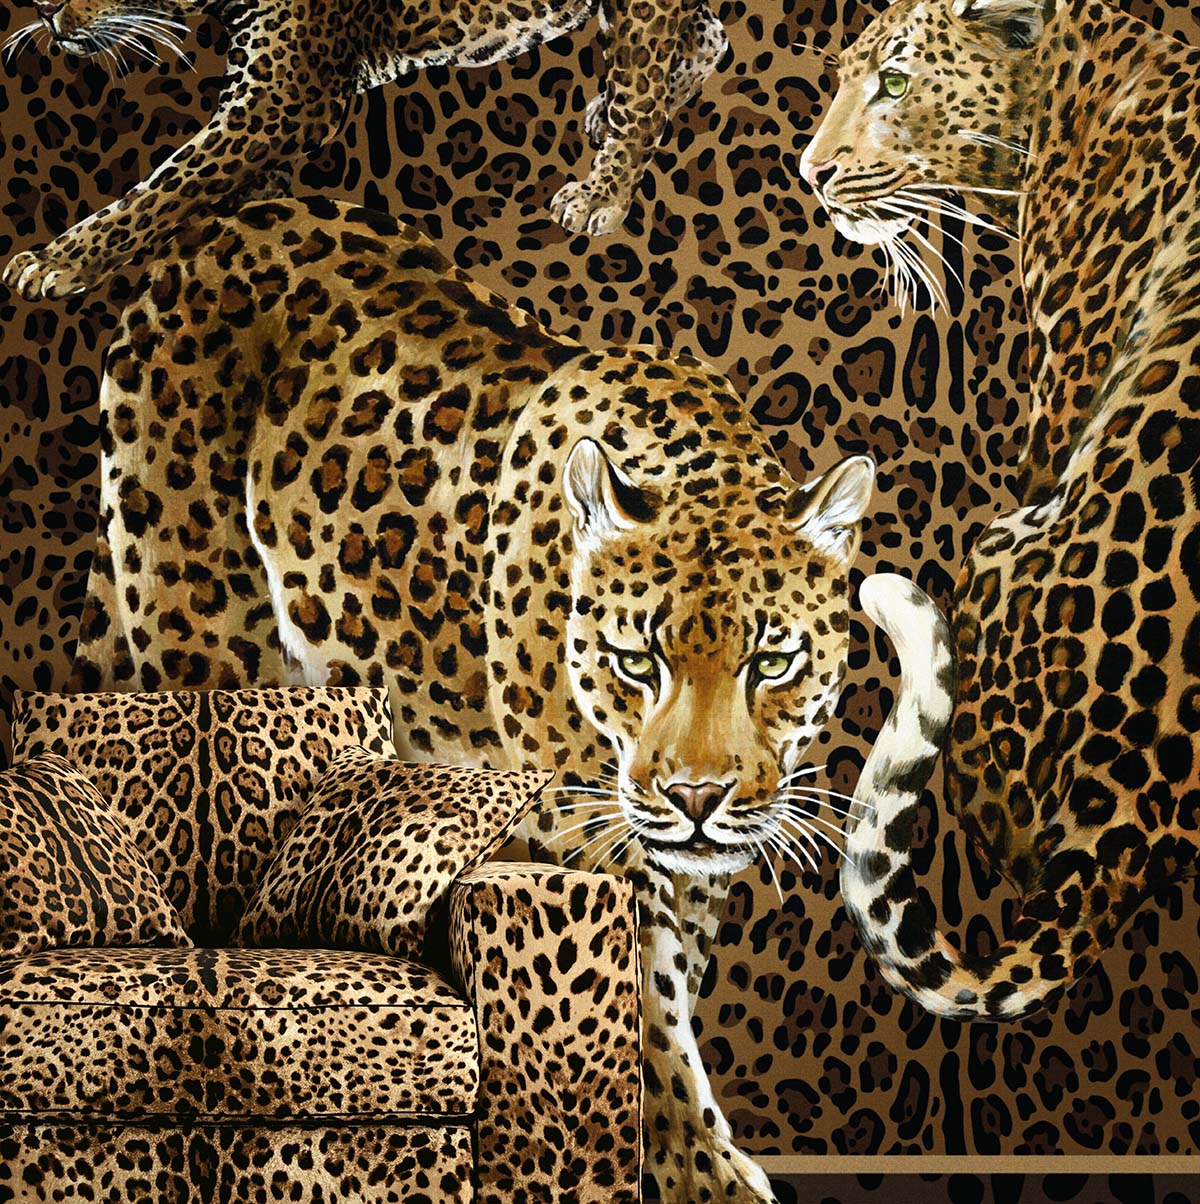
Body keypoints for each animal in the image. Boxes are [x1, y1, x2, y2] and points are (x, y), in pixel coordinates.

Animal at [0, 0, 730, 303]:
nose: (44, 8)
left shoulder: (284, 90)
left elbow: (164, 184)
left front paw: (54, 261)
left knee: (649, 71)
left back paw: (604, 189)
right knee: (707, 37)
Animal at [63, 193, 878, 1203]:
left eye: (770, 661)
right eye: (634, 660)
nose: (696, 797)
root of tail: (232, 219)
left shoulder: (677, 872)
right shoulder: (592, 848)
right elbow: (644, 1030)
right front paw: (705, 1174)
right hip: (200, 634)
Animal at [800, 0, 1200, 1020]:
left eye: (897, 82)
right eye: (842, 76)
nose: (811, 173)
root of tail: (1124, 823)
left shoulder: (1067, 375)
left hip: (998, 545)